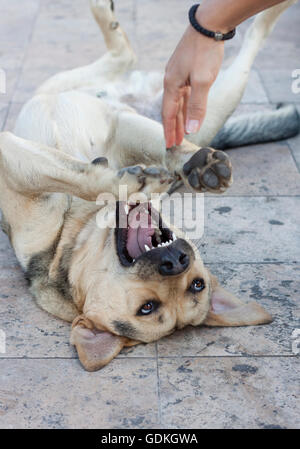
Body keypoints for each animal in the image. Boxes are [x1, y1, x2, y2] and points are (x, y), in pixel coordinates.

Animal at [0, 0, 298, 370]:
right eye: (147, 307)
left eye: (196, 285)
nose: (176, 261)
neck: (78, 228)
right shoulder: (27, 155)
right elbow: (69, 171)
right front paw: (144, 176)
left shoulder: (114, 129)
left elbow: (75, 171)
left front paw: (144, 177)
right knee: (129, 63)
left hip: (202, 99)